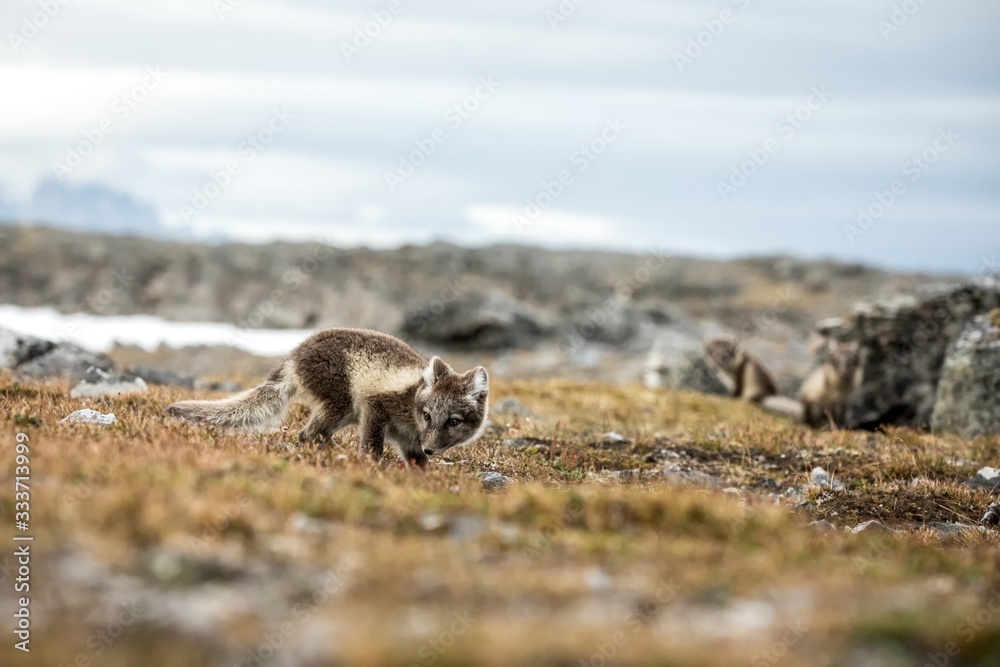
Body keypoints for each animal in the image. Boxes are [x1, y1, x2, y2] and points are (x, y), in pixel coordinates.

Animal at [165, 328, 489, 468]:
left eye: (453, 421)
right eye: (427, 415)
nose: (432, 448)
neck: (410, 411)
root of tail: (294, 353)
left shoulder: (409, 442)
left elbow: (417, 462)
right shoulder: (375, 405)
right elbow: (372, 446)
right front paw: (370, 466)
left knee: (312, 435)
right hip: (342, 403)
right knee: (308, 434)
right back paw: (335, 455)